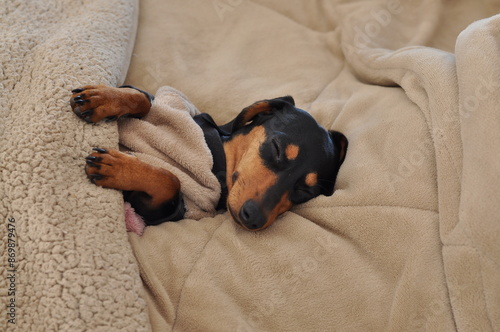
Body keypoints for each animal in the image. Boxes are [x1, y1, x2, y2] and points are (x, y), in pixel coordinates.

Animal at [69, 85, 348, 231]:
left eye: (306, 192)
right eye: (277, 149)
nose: (254, 219)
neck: (219, 157)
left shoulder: (158, 210)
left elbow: (171, 180)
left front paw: (116, 166)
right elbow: (143, 99)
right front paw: (101, 99)